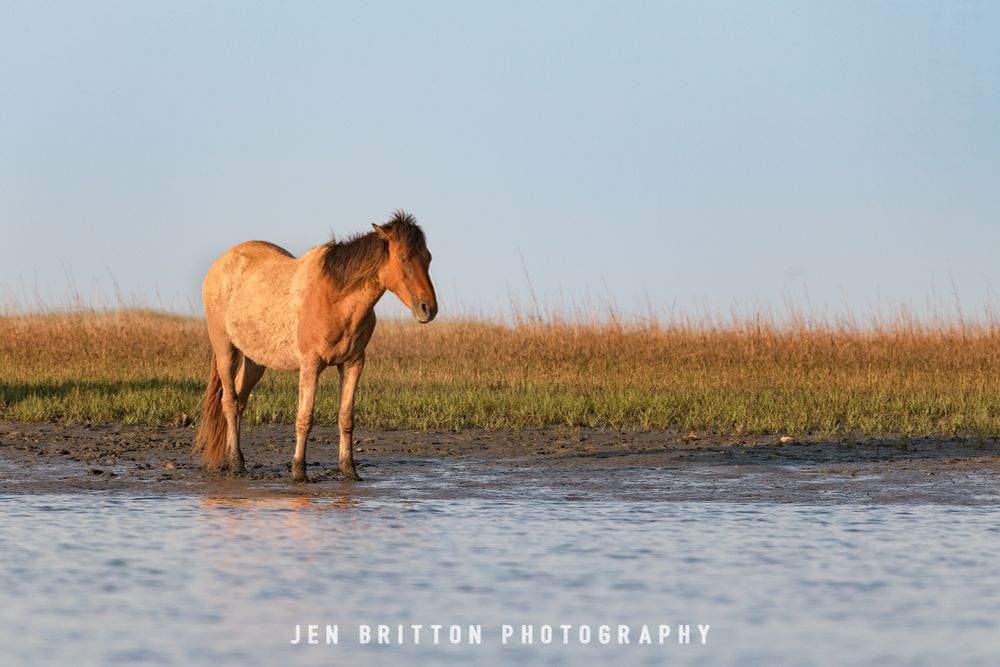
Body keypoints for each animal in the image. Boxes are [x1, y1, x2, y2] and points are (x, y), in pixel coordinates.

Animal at [193, 210, 437, 482]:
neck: (335, 299)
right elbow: (305, 418)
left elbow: (346, 418)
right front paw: (299, 471)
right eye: (403, 258)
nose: (428, 308)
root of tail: (220, 264)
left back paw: (231, 459)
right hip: (225, 350)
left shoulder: (353, 363)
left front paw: (349, 470)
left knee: (240, 400)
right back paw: (236, 463)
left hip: (255, 360)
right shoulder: (311, 364)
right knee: (230, 401)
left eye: (428, 257)